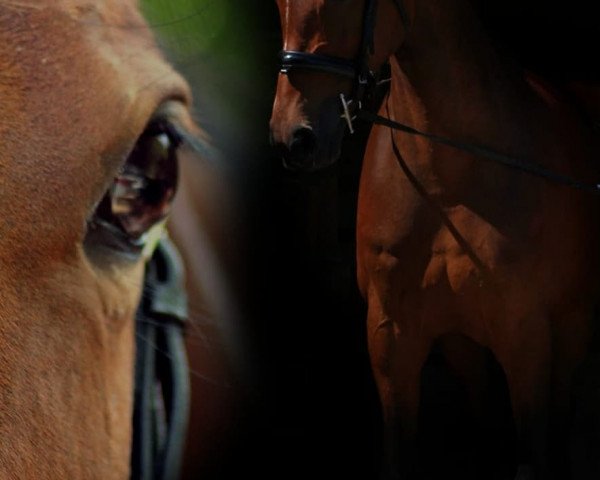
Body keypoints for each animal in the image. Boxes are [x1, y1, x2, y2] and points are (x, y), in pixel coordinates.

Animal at [270, 0, 600, 480]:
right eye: (279, 5)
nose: (294, 138)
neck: (447, 182)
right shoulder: (392, 337)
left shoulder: (526, 335)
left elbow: (532, 451)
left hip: (572, 325)